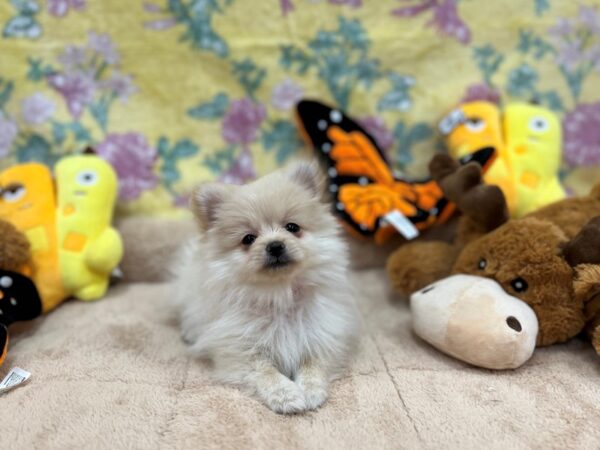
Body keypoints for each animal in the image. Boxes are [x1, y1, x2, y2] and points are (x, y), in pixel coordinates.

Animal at [173, 162, 360, 414]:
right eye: (248, 239)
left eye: (292, 227)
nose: (275, 245)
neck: (280, 295)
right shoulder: (241, 350)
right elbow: (266, 374)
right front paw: (286, 395)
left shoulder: (321, 335)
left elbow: (313, 365)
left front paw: (311, 391)